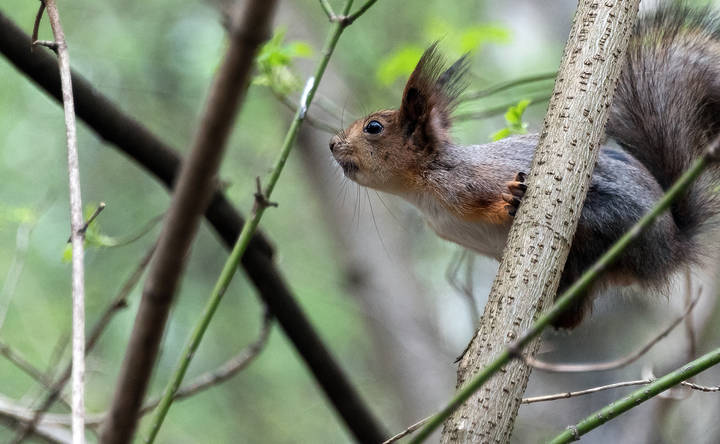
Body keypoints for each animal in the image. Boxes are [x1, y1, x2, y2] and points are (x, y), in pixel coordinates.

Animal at [328, 4, 720, 329]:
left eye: (374, 128)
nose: (332, 144)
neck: (423, 189)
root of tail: (672, 246)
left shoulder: (469, 182)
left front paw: (509, 201)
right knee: (576, 316)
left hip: (614, 219)